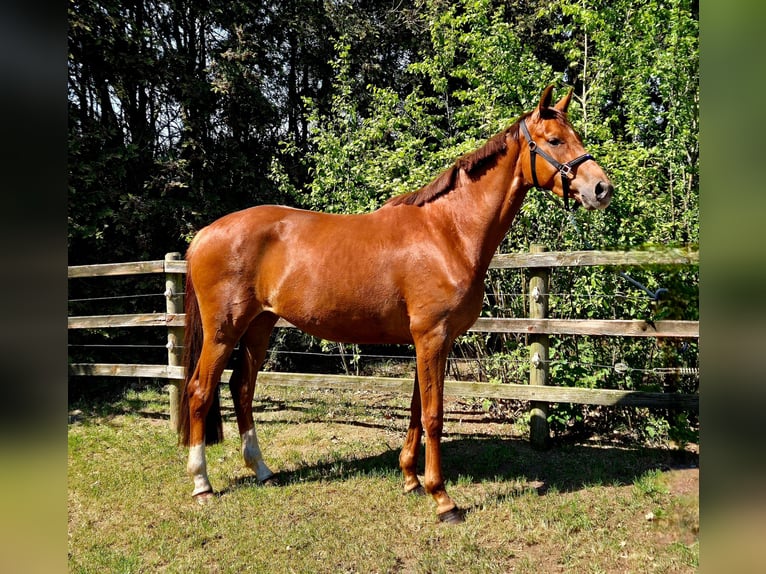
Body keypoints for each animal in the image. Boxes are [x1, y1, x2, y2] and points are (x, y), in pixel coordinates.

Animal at [178, 84, 612, 528]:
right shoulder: (431, 336)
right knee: (199, 391)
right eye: (555, 140)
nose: (601, 188)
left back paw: (263, 471)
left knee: (241, 388)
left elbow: (417, 410)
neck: (447, 232)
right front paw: (443, 499)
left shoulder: (431, 340)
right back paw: (202, 485)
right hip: (223, 331)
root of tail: (204, 234)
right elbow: (434, 415)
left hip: (259, 327)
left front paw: (411, 480)